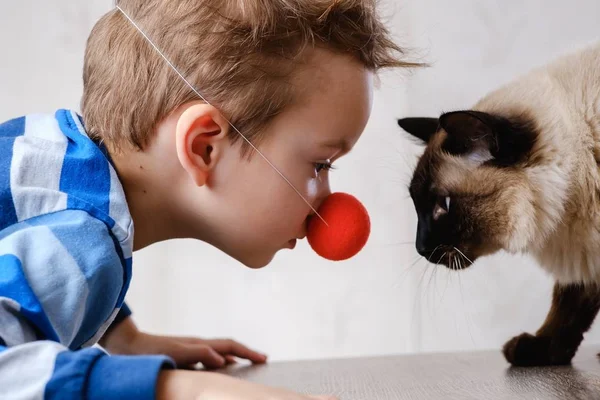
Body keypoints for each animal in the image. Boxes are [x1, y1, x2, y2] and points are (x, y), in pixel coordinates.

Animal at [398, 42, 600, 368]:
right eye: (417, 205)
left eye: (443, 205)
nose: (420, 247)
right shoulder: (585, 253)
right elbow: (568, 307)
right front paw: (542, 351)